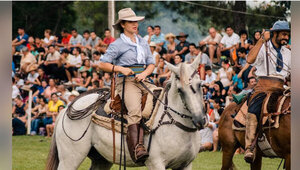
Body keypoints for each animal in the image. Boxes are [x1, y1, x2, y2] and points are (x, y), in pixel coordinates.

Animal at [45, 54, 207, 170]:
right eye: (180, 90)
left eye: (200, 85)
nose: (200, 120)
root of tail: (65, 110)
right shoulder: (156, 164)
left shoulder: (185, 165)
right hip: (70, 158)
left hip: (101, 159)